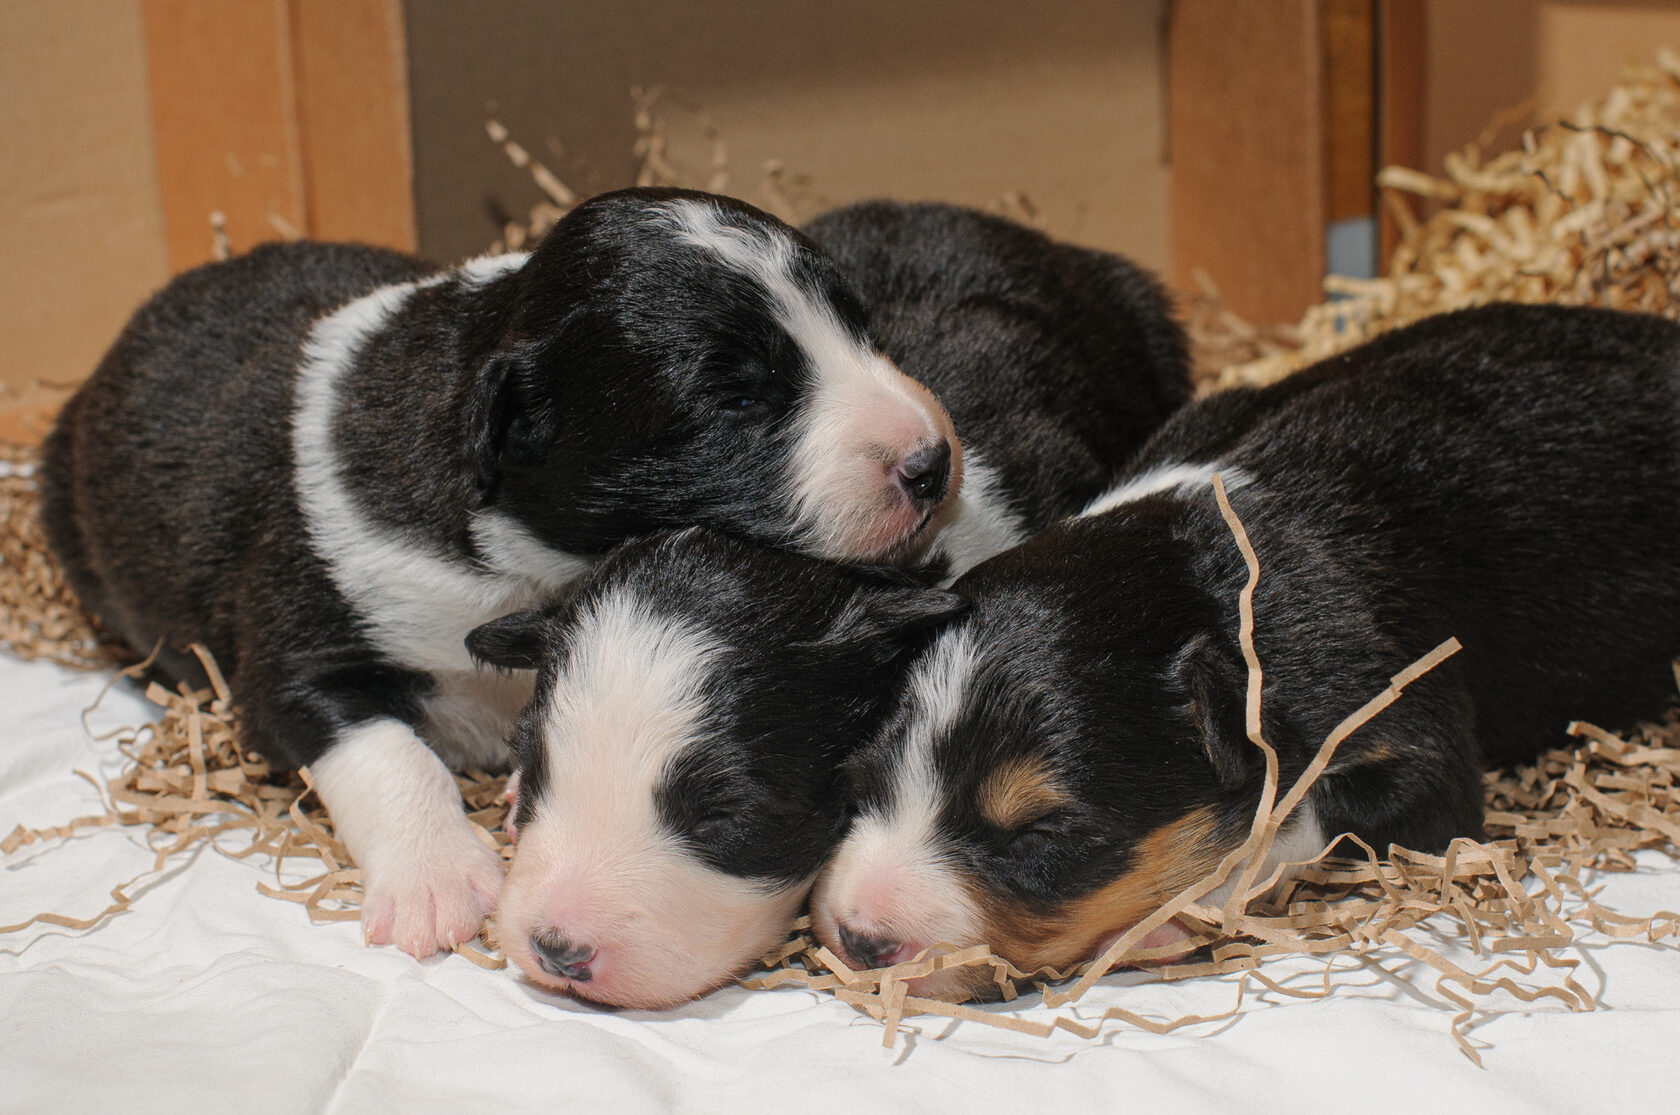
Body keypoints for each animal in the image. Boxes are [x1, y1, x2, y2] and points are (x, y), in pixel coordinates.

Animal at [39, 189, 960, 960]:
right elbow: (386, 750)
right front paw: (437, 882)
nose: (932, 461)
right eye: (737, 401)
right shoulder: (295, 649)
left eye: (864, 331)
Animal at [809, 302, 1680, 1000]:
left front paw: (1167, 918)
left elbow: (1295, 819)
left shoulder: (1413, 734)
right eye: (860, 776)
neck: (1222, 568)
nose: (859, 938)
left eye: (1041, 835)